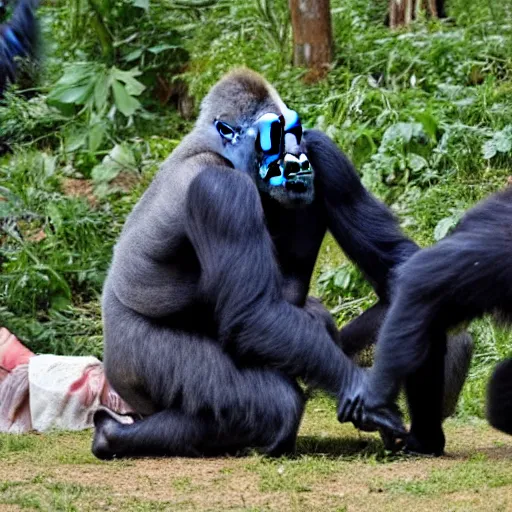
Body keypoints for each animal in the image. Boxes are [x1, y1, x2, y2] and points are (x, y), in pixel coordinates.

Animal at [93, 69, 472, 460]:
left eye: (296, 132)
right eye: (274, 137)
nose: (297, 159)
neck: (218, 150)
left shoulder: (323, 151)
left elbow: (399, 268)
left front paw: (421, 424)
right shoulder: (220, 189)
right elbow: (253, 312)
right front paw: (358, 389)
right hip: (133, 361)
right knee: (276, 404)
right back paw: (113, 436)